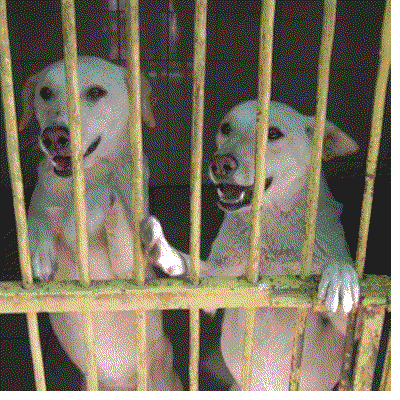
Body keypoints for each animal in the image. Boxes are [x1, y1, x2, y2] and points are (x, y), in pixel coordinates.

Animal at [19, 56, 182, 390]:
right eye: (45, 92)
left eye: (95, 92)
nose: (53, 137)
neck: (86, 179)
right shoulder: (43, 194)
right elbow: (38, 209)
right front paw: (39, 251)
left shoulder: (127, 269)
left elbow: (119, 209)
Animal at [141, 99, 360, 390]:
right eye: (225, 128)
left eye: (273, 133)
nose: (219, 163)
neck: (269, 224)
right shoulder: (217, 284)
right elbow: (195, 269)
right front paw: (165, 253)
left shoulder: (351, 326)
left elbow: (338, 265)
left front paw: (341, 275)